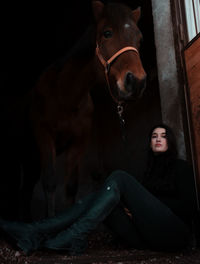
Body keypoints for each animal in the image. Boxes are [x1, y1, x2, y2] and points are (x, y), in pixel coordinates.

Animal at [18, 0, 146, 220]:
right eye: (107, 33)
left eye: (139, 38)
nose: (136, 82)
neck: (65, 95)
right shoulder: (44, 135)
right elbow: (50, 182)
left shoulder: (79, 142)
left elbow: (70, 187)